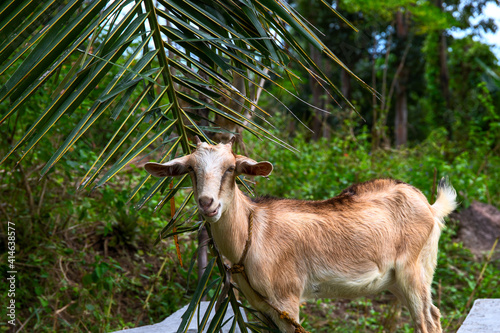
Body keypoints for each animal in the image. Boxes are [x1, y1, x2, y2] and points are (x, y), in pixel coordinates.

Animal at [145, 137, 458, 332]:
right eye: (190, 169)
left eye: (231, 168)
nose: (207, 203)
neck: (251, 233)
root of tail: (430, 206)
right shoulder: (263, 307)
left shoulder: (287, 298)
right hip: (405, 276)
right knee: (434, 314)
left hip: (412, 270)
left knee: (426, 321)